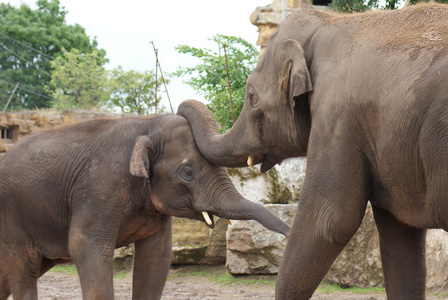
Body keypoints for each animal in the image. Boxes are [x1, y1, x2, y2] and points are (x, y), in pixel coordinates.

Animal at [0, 113, 290, 298]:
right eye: (188, 172)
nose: (288, 233)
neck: (147, 125)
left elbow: (156, 258)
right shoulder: (98, 189)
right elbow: (85, 247)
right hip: (12, 216)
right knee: (24, 270)